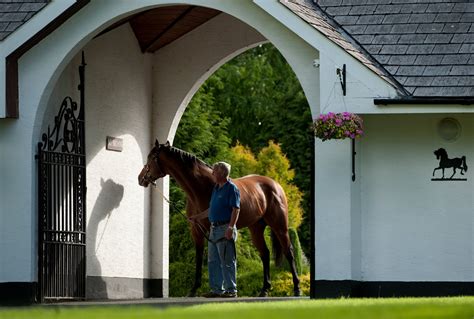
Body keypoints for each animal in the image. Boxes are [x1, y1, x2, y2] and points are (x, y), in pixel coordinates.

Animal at [139, 140, 300, 298]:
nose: (140, 178)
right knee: (265, 254)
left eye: (150, 157)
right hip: (256, 228)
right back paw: (264, 289)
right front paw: (195, 289)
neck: (201, 188)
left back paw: (297, 288)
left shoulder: (212, 229)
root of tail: (275, 184)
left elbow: (220, 259)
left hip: (279, 226)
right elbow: (200, 257)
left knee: (289, 252)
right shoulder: (196, 229)